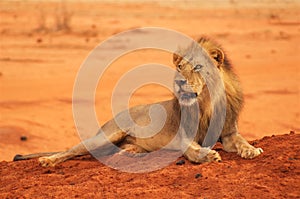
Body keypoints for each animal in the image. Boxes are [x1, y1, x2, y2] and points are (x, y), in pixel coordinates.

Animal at [14, 37, 262, 166]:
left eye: (198, 67)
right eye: (180, 67)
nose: (180, 81)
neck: (206, 102)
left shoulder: (229, 133)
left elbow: (241, 141)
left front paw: (252, 150)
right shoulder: (182, 136)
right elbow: (191, 149)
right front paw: (207, 155)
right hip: (106, 136)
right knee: (72, 150)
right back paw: (47, 160)